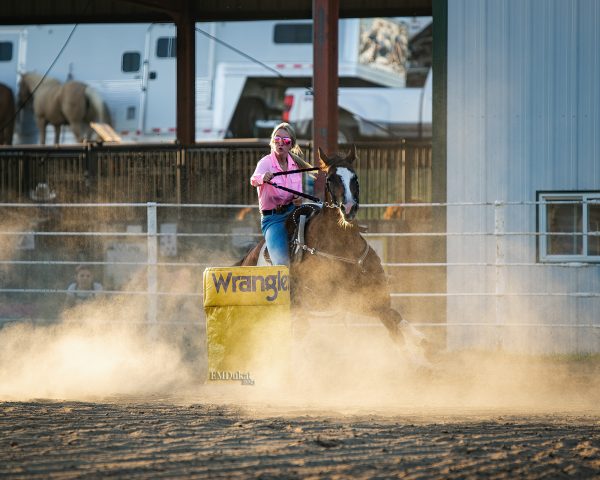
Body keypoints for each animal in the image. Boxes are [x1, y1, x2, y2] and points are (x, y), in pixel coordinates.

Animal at [237, 145, 428, 360]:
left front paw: (423, 345)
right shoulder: (341, 299)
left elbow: (394, 318)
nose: (349, 207)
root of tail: (246, 260)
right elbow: (392, 322)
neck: (344, 247)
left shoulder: (375, 297)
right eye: (329, 179)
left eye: (355, 177)